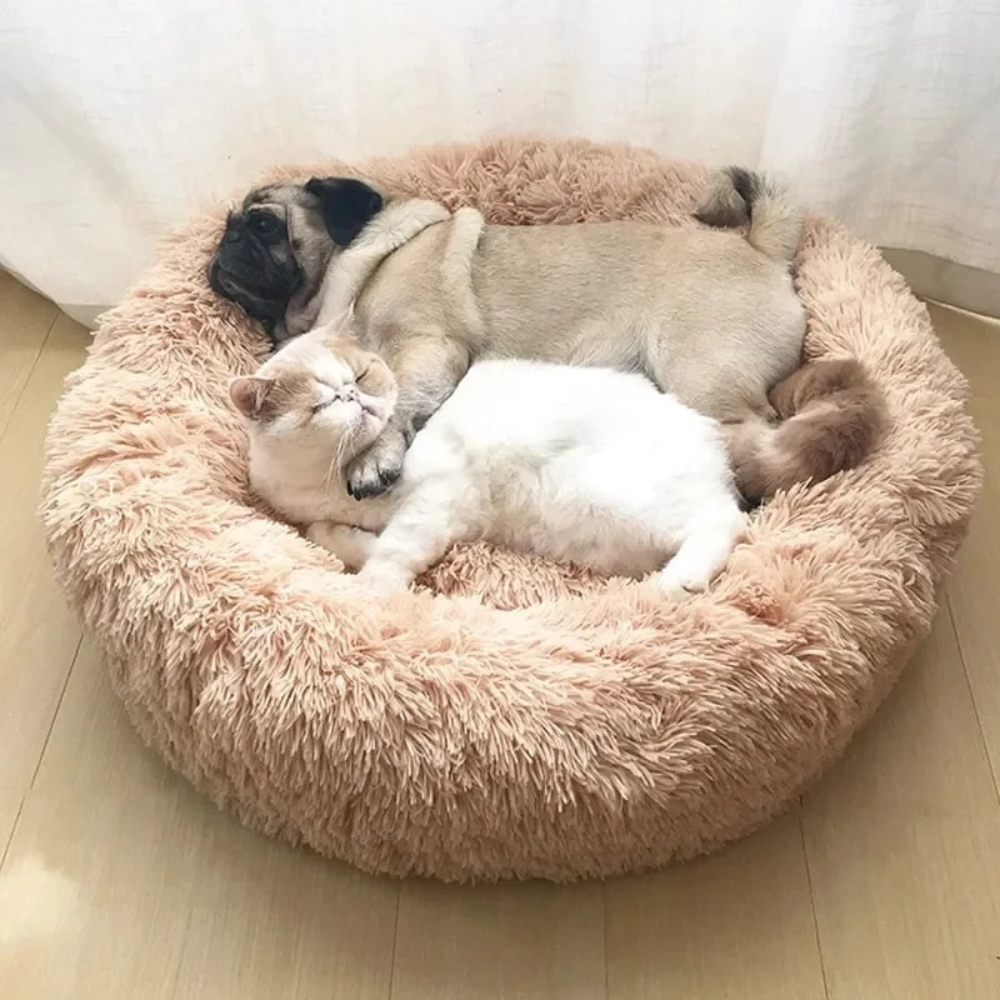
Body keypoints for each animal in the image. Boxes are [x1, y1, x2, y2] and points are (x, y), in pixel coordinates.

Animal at [209, 172, 804, 504]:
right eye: (230, 225)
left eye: (264, 225)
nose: (224, 244)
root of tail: (759, 249)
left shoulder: (427, 347)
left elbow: (395, 401)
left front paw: (374, 458)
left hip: (700, 373)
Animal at [227, 326, 744, 592]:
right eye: (322, 404)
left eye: (360, 376)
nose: (355, 397)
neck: (328, 483)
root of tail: (709, 437)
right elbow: (341, 537)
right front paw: (340, 539)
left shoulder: (440, 495)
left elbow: (394, 550)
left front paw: (372, 593)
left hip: (617, 499)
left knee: (726, 521)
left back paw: (679, 581)